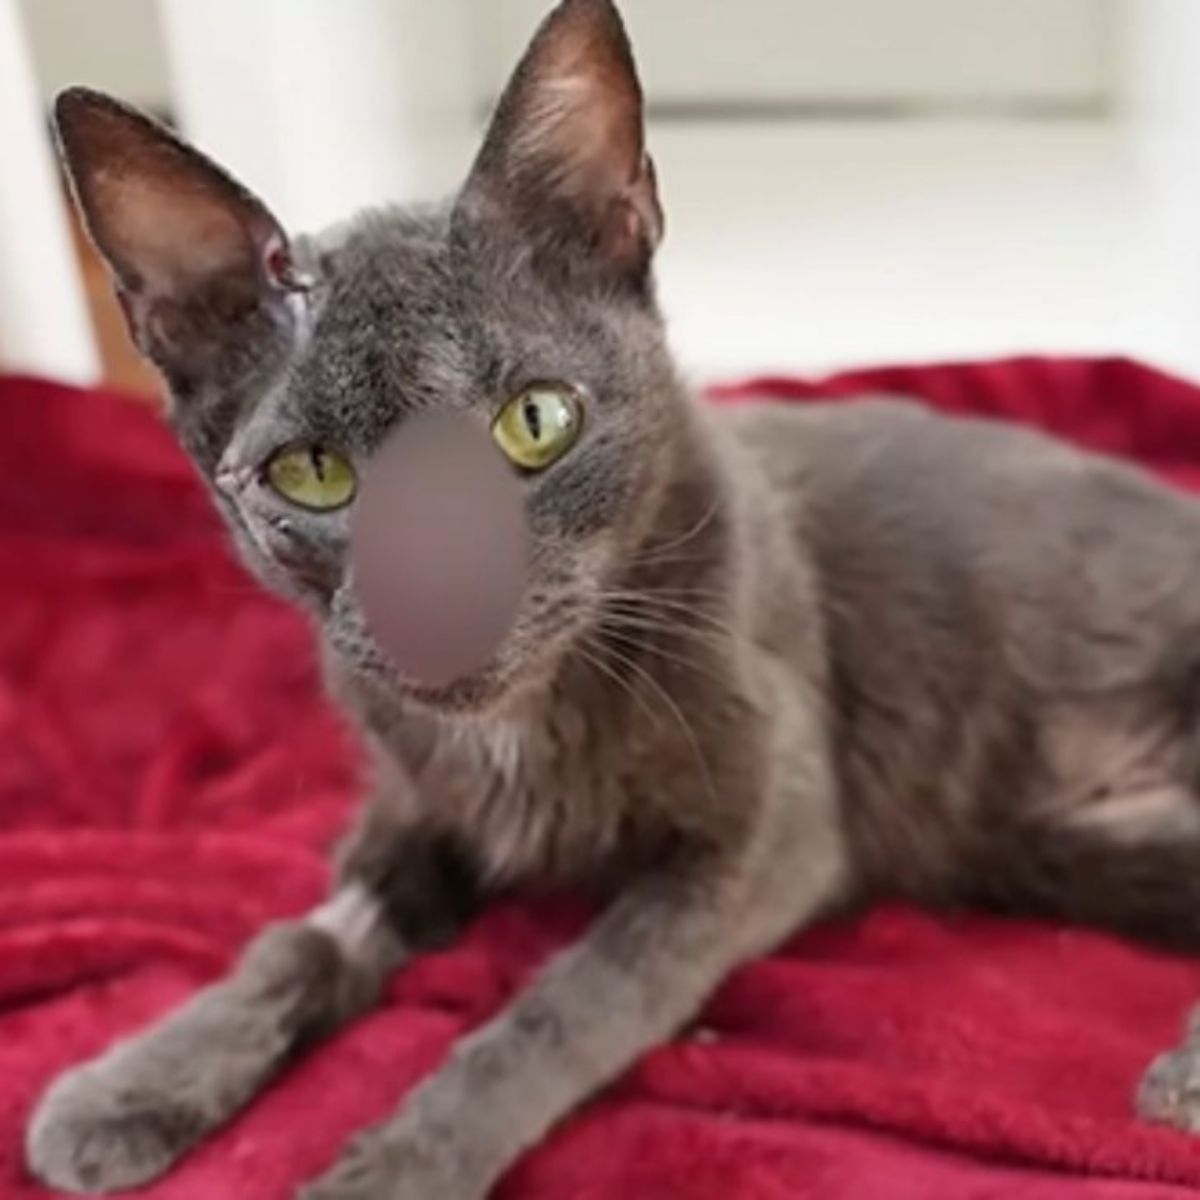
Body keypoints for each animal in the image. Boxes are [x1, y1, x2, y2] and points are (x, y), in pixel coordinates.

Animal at [25, 2, 1200, 1200]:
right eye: (313, 474)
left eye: (537, 421)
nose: (441, 594)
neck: (522, 731)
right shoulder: (418, 802)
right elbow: (305, 938)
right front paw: (132, 1084)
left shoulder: (769, 835)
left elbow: (569, 1006)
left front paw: (399, 1163)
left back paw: (1186, 1080)